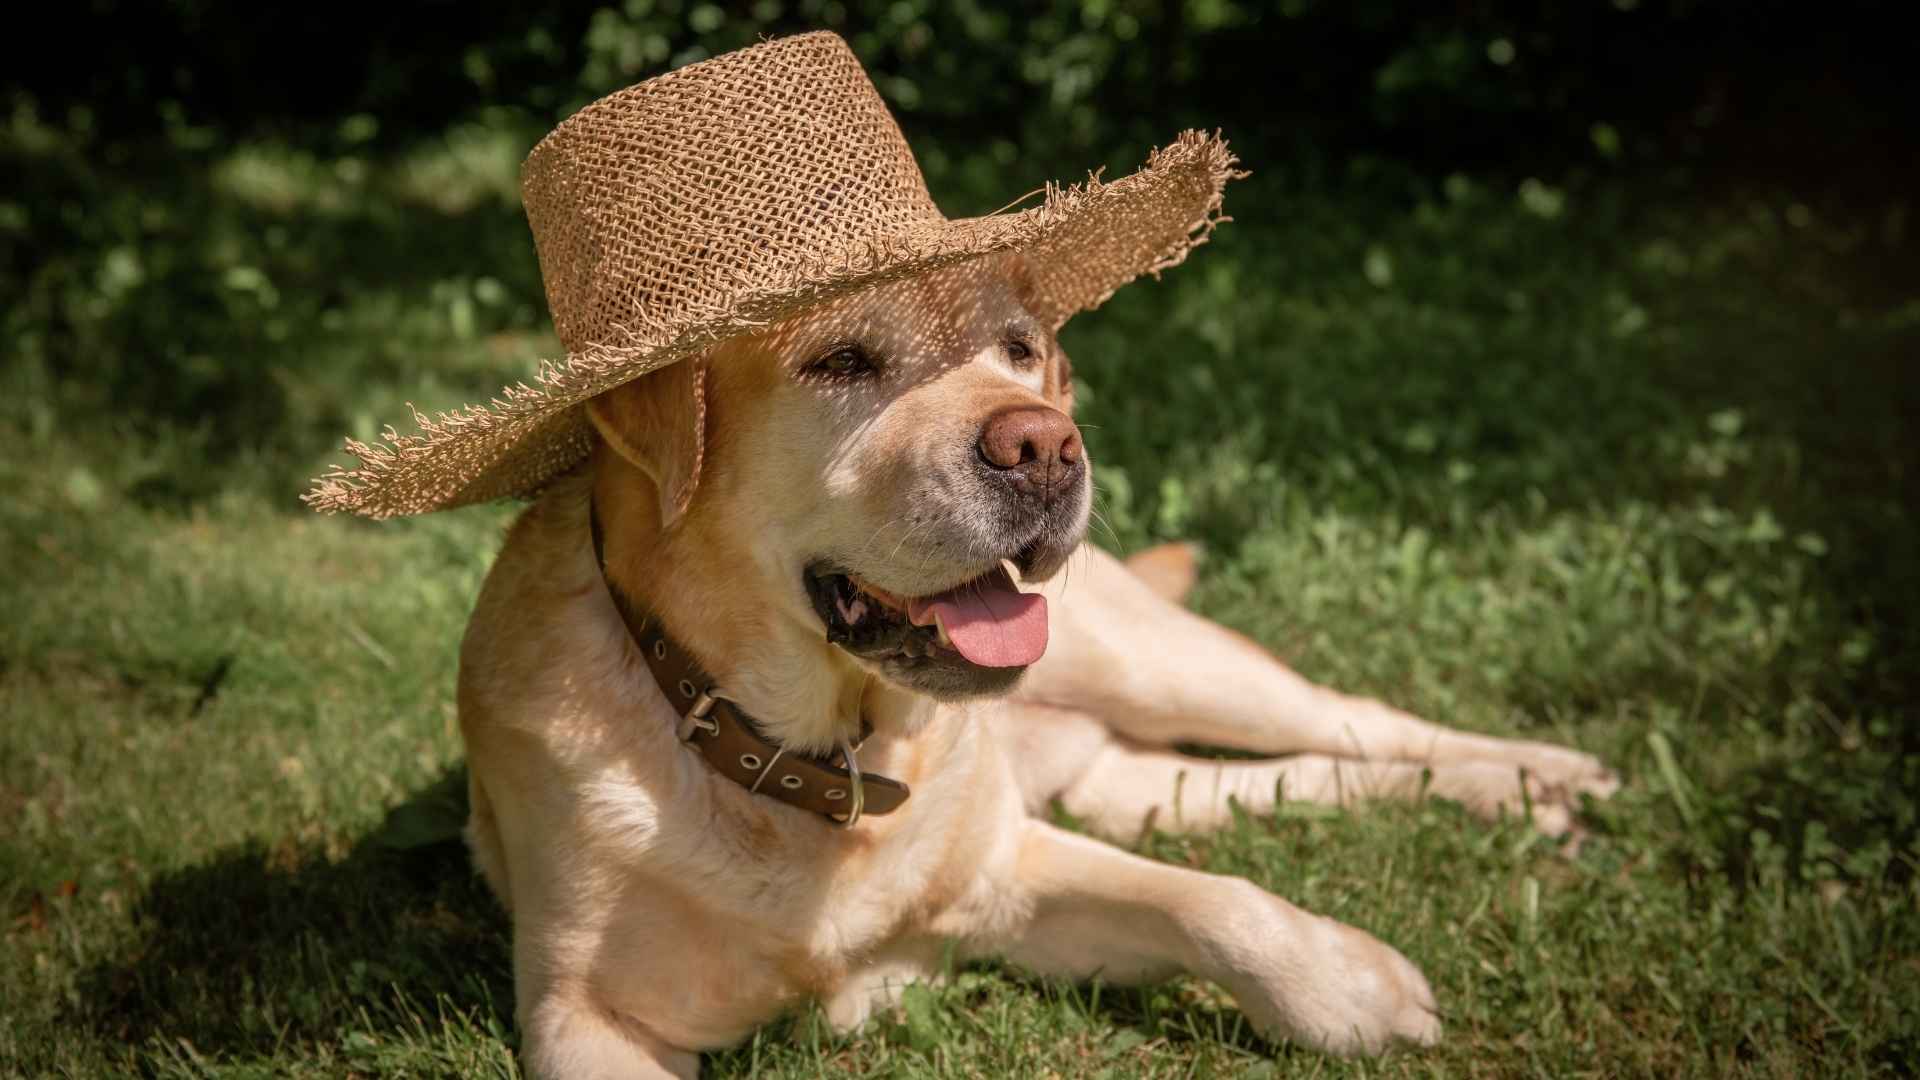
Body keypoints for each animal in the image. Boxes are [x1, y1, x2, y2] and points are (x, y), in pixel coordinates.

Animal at [456, 255, 1612, 1068]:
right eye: (840, 361)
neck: (814, 766)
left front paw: (1353, 987)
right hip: (1128, 783)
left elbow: (1222, 904)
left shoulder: (1008, 871)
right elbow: (1216, 890)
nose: (1048, 446)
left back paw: (1537, 775)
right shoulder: (581, 1015)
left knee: (1359, 718)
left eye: (1016, 348)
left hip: (1162, 665)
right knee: (1286, 782)